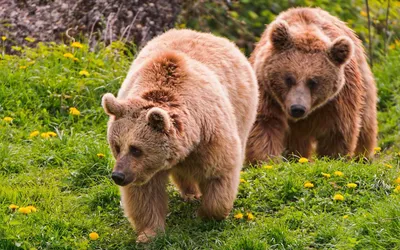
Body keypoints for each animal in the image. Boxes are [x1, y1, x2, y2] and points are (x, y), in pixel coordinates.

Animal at [101, 28, 258, 242]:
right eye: (117, 146)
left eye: (136, 149)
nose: (118, 175)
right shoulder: (145, 170)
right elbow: (145, 194)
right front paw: (148, 233)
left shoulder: (211, 135)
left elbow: (219, 172)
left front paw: (207, 214)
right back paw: (190, 192)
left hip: (243, 109)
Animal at [245, 7, 376, 164]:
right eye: (289, 78)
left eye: (313, 82)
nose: (297, 108)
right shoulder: (266, 91)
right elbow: (265, 123)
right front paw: (266, 161)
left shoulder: (338, 99)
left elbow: (337, 130)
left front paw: (333, 157)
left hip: (364, 84)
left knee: (366, 122)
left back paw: (363, 156)